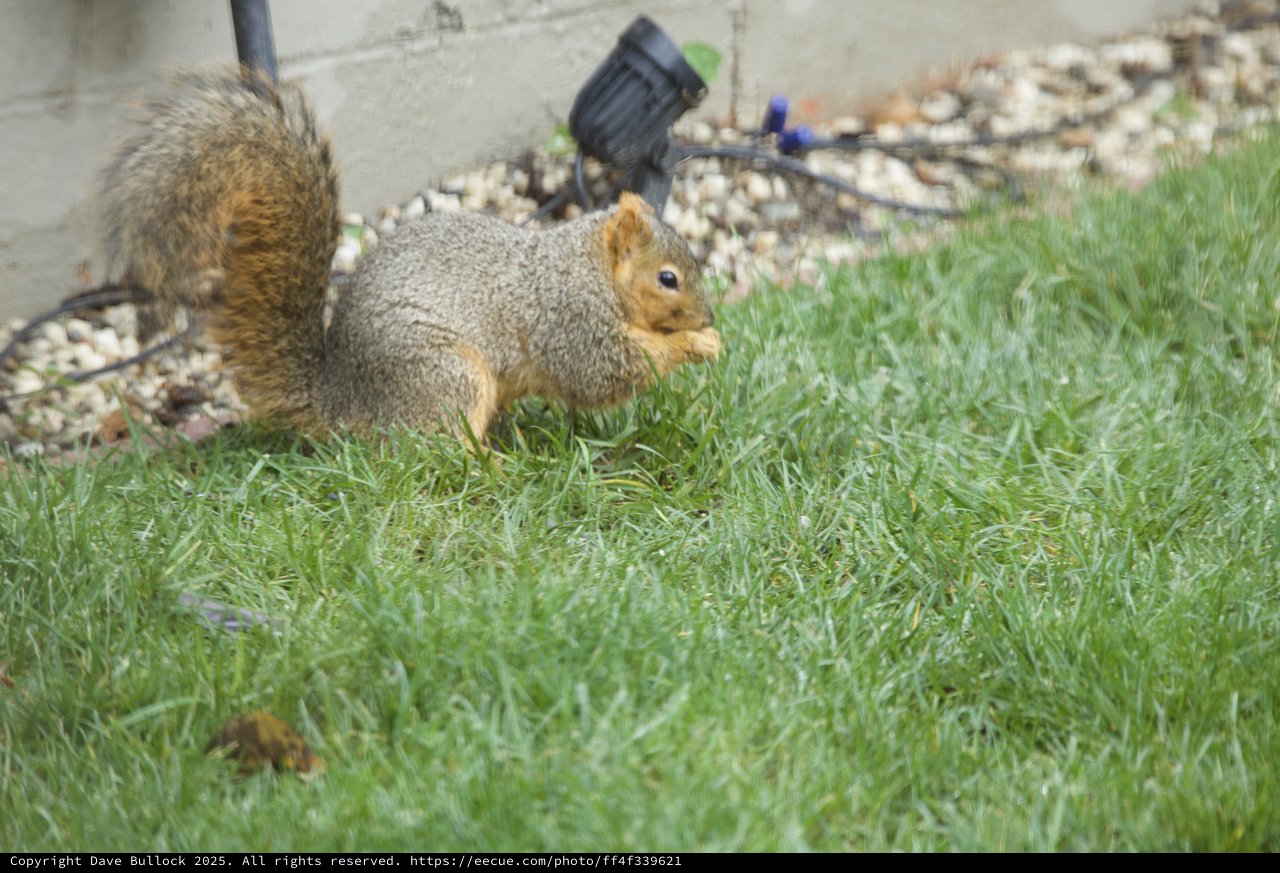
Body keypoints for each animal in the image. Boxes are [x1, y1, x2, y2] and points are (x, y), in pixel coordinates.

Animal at [99, 68, 721, 440]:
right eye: (668, 278)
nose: (708, 314)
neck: (590, 268)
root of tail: (340, 402)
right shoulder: (571, 321)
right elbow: (607, 372)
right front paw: (695, 343)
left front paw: (707, 337)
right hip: (444, 375)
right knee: (435, 450)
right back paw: (493, 466)